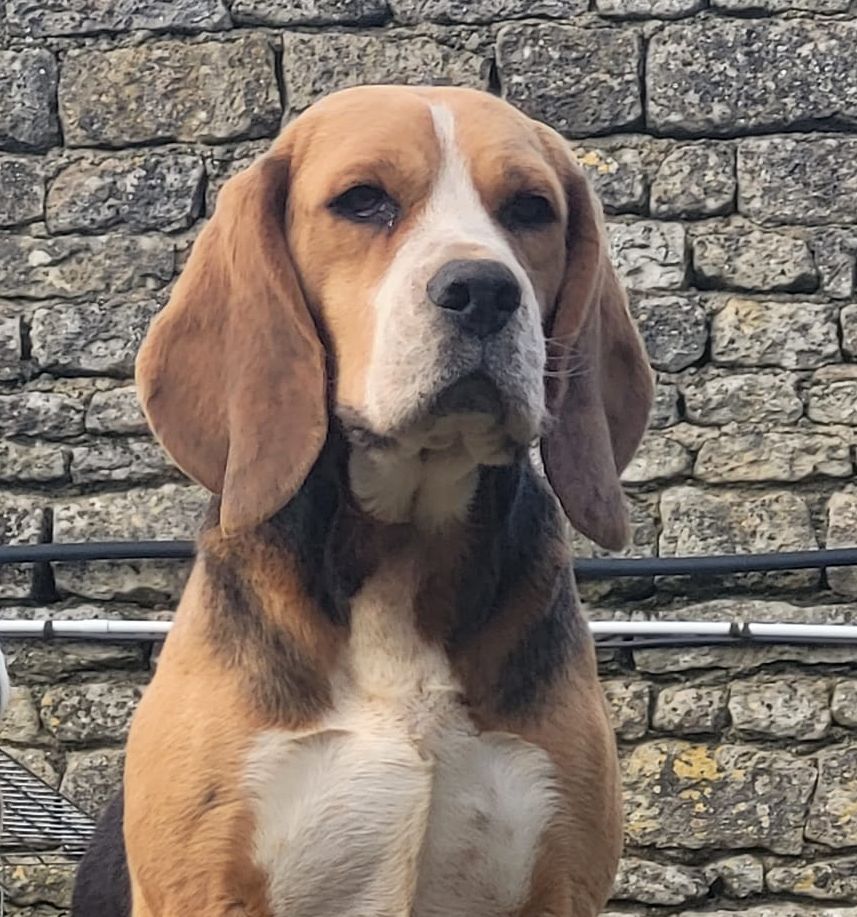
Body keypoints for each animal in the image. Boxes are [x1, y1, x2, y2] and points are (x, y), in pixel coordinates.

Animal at [72, 84, 653, 917]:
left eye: (531, 209)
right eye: (362, 201)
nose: (484, 290)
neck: (402, 543)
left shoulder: (562, 885)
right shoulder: (205, 889)